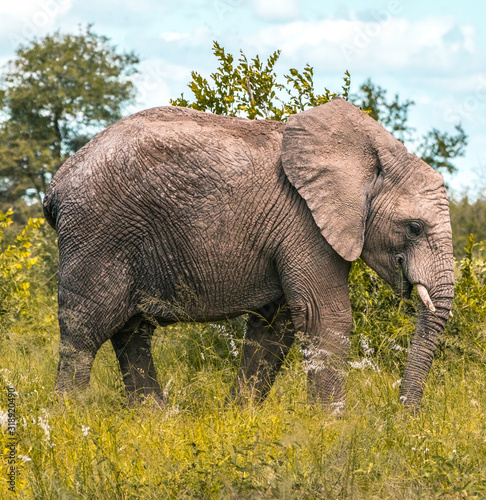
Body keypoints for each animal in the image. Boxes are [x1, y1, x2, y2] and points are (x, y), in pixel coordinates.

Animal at [43, 96, 454, 410]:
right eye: (414, 228)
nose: (403, 416)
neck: (372, 155)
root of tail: (57, 183)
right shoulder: (305, 224)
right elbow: (324, 318)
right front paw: (332, 424)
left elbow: (274, 327)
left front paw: (240, 417)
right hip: (99, 231)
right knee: (85, 331)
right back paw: (69, 418)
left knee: (131, 331)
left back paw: (154, 418)